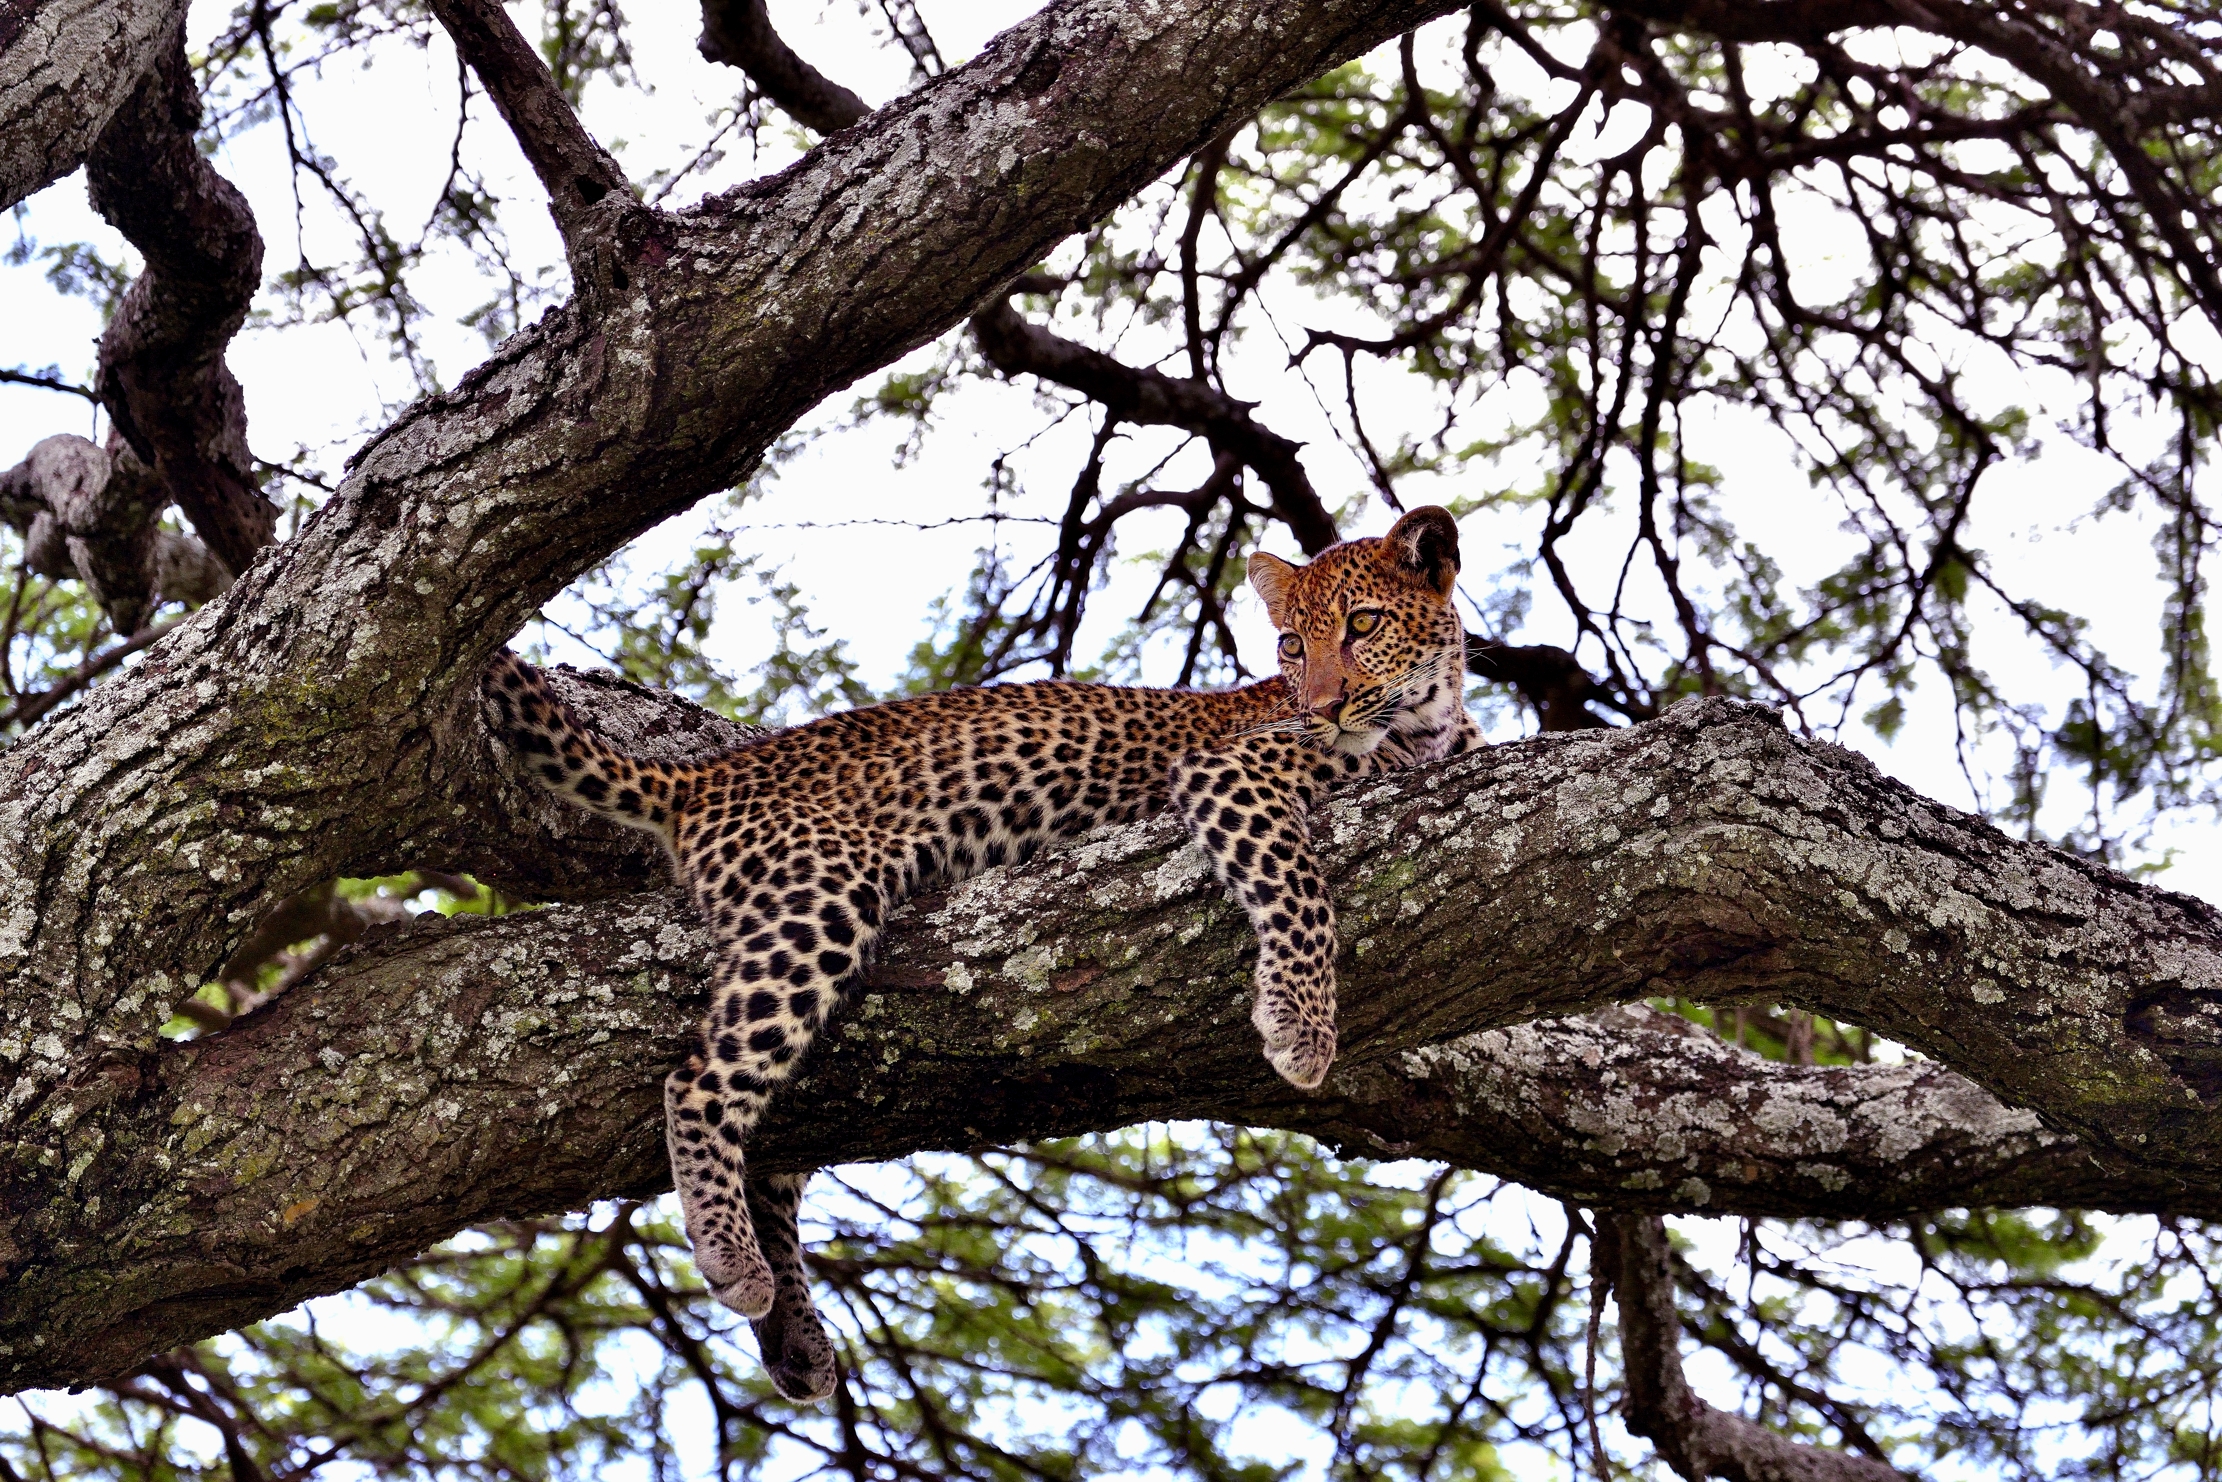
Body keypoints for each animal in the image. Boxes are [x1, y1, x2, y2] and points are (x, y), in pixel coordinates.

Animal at [481, 505, 1481, 1404]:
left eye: (1362, 626)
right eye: (1288, 646)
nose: (1324, 706)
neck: (1432, 724)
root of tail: (706, 778)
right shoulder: (1234, 773)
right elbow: (1296, 883)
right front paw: (1302, 1026)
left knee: (774, 1151)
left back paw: (795, 1335)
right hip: (822, 898)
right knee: (701, 1079)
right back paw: (732, 1255)